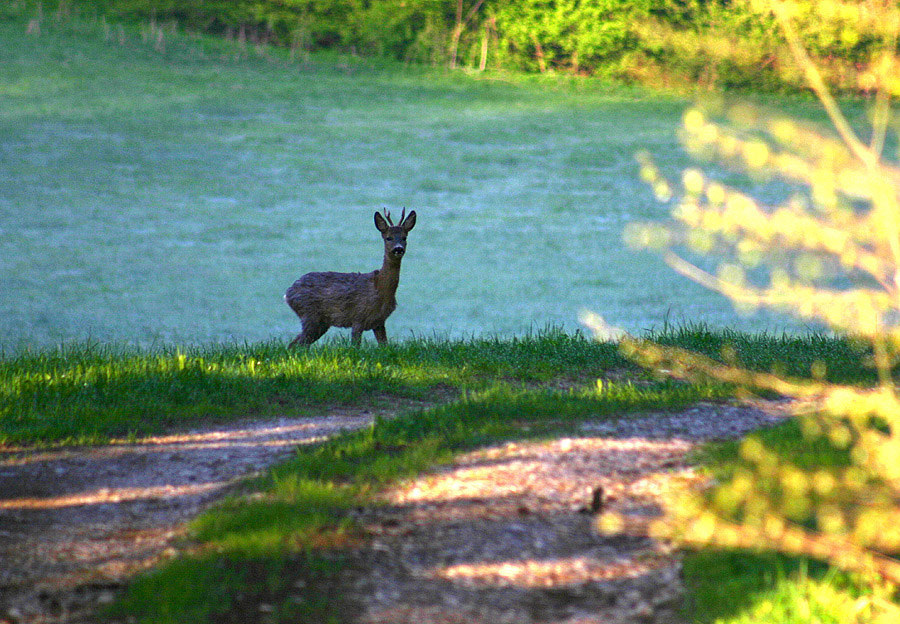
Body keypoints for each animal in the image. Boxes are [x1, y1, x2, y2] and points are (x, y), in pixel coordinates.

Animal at [284, 208, 418, 346]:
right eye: (388, 238)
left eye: (404, 237)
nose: (398, 249)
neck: (379, 288)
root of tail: (288, 293)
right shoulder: (358, 316)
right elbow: (355, 346)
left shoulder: (379, 322)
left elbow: (384, 345)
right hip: (309, 314)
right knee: (300, 344)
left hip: (320, 322)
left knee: (295, 344)